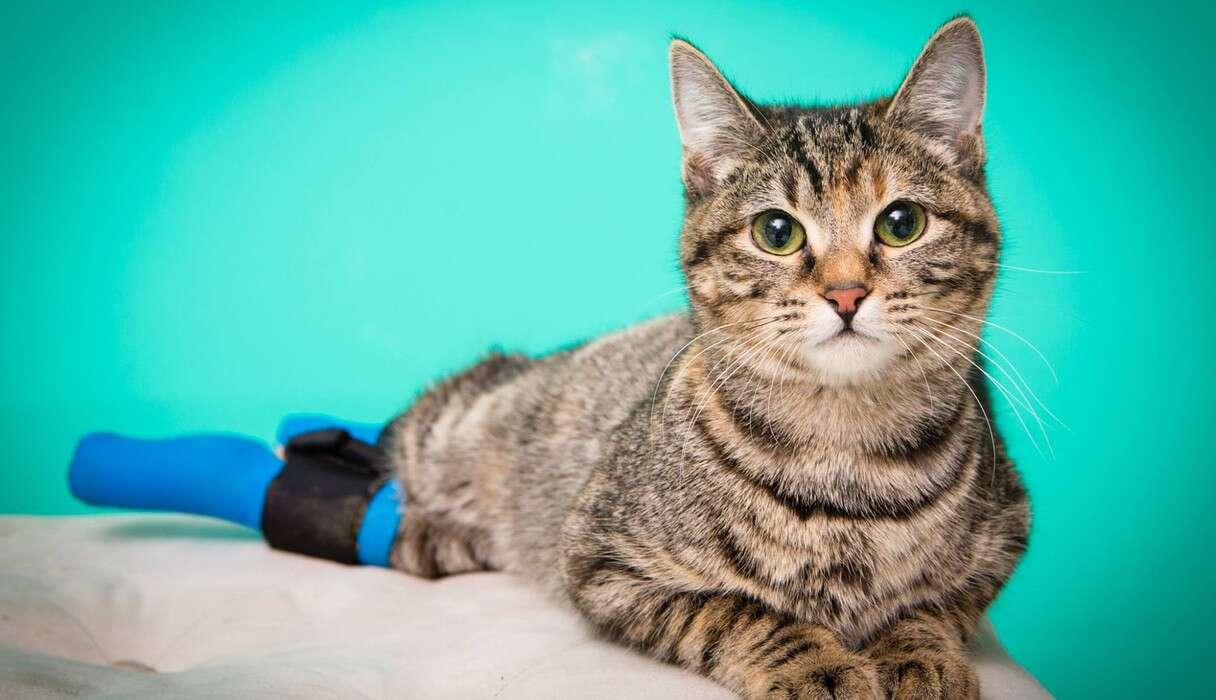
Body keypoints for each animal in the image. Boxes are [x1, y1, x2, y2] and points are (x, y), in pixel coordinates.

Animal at [379, 16, 1026, 700]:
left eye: (902, 222)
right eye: (777, 232)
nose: (846, 293)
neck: (844, 460)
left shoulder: (1007, 536)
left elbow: (934, 606)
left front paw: (919, 652)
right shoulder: (600, 560)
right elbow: (738, 613)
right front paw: (817, 665)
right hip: (459, 430)